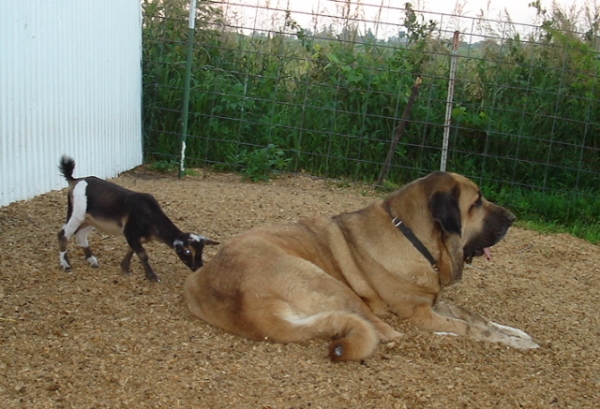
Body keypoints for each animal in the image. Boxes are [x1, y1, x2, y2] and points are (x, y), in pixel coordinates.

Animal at [56, 155, 218, 280]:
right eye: (188, 251)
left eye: (201, 251)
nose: (198, 267)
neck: (150, 216)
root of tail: (75, 180)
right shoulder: (130, 232)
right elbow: (142, 254)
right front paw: (152, 277)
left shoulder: (136, 237)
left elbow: (132, 250)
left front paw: (125, 268)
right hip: (76, 213)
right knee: (63, 234)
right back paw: (66, 265)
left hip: (90, 219)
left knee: (81, 234)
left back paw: (92, 260)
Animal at [184, 171, 540, 360]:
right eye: (476, 202)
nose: (513, 218)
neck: (415, 239)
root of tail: (252, 309)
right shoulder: (418, 311)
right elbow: (472, 328)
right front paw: (513, 342)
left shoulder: (434, 300)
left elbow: (477, 317)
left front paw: (517, 332)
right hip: (328, 281)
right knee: (387, 332)